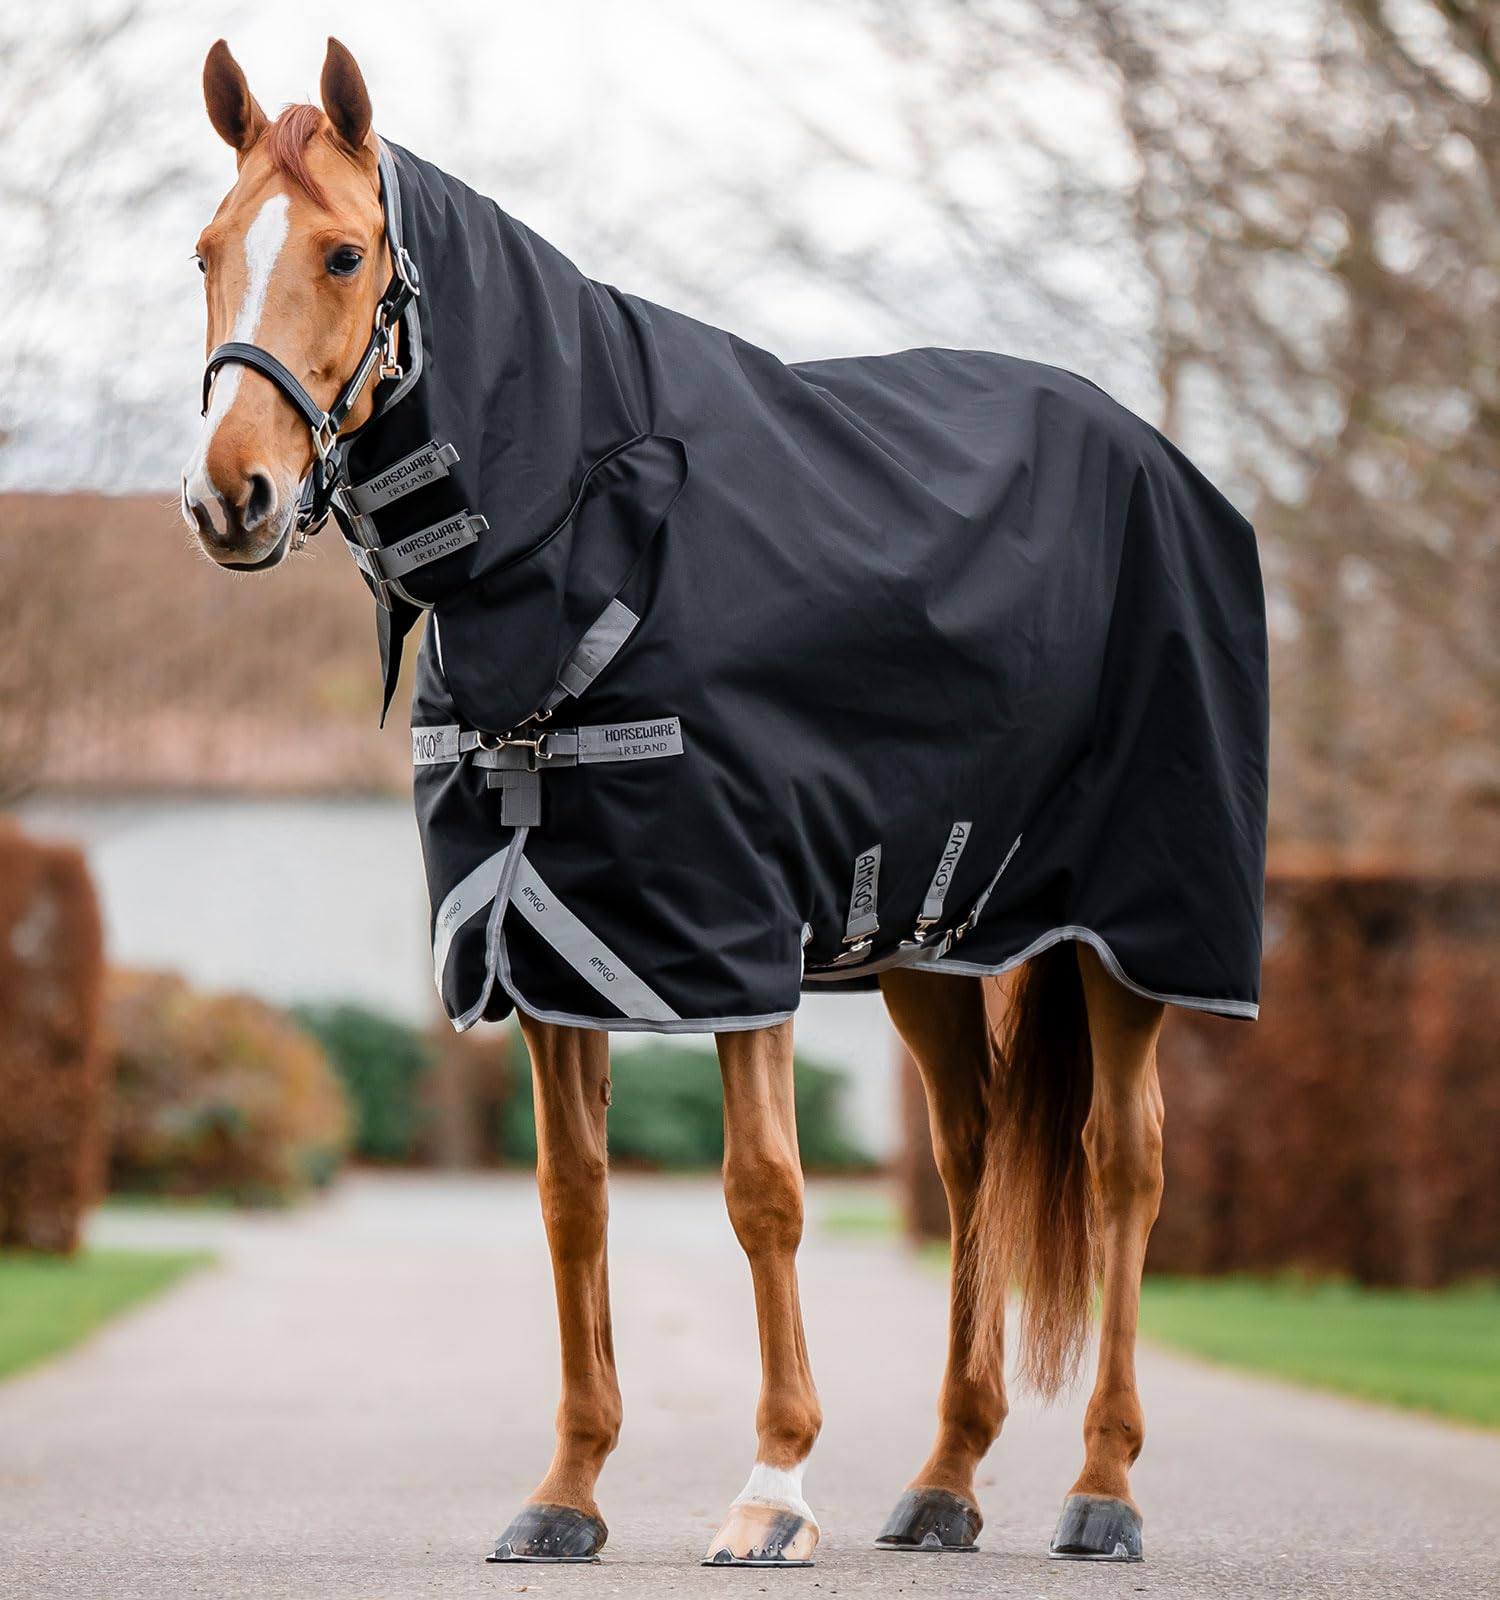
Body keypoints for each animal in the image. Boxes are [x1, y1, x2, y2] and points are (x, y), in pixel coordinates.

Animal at [182, 37, 1267, 1568]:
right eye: (208, 252)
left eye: (343, 252)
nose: (231, 495)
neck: (585, 529)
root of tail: (1163, 460)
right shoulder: (550, 943)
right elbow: (573, 1204)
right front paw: (567, 1492)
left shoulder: (734, 936)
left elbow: (765, 1194)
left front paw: (773, 1488)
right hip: (927, 946)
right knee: (976, 1158)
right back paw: (945, 1479)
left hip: (1135, 933)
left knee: (1124, 1167)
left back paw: (1103, 1489)